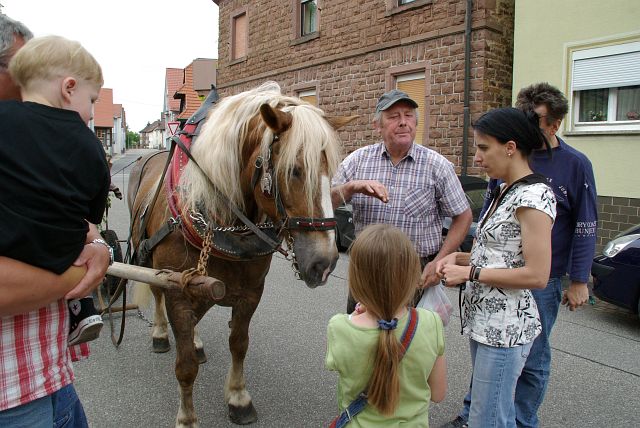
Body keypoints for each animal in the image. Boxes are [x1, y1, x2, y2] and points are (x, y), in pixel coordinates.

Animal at [127, 82, 354, 427]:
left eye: (334, 172)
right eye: (295, 170)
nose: (324, 263)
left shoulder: (250, 292)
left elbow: (239, 344)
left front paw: (237, 397)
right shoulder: (177, 291)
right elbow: (185, 365)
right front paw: (187, 417)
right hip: (151, 262)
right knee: (156, 295)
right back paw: (161, 334)